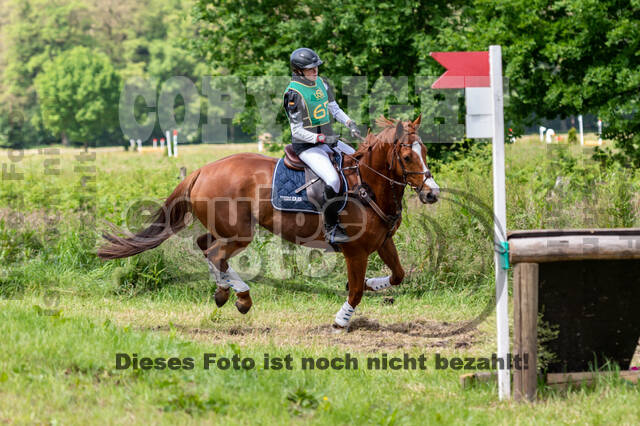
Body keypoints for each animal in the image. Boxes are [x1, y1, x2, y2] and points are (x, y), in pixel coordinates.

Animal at [97, 115, 440, 330]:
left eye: (425, 151)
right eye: (407, 157)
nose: (432, 193)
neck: (368, 184)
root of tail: (202, 170)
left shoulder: (383, 242)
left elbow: (397, 275)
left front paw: (373, 284)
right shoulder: (355, 251)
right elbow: (355, 291)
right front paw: (342, 320)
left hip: (227, 229)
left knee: (205, 246)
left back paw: (224, 291)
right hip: (239, 233)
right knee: (215, 254)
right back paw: (242, 296)